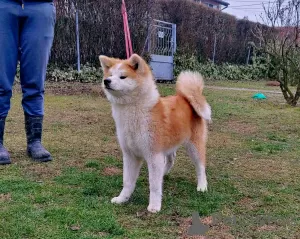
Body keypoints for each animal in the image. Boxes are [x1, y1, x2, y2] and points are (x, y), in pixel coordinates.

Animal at [98, 54, 211, 213]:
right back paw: (164, 173)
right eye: (110, 75)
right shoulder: (130, 155)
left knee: (200, 167)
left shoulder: (154, 154)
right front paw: (122, 199)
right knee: (171, 159)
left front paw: (154, 206)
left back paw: (202, 186)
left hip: (193, 146)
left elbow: (155, 185)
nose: (106, 81)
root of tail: (185, 99)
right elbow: (127, 182)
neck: (133, 112)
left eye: (122, 77)